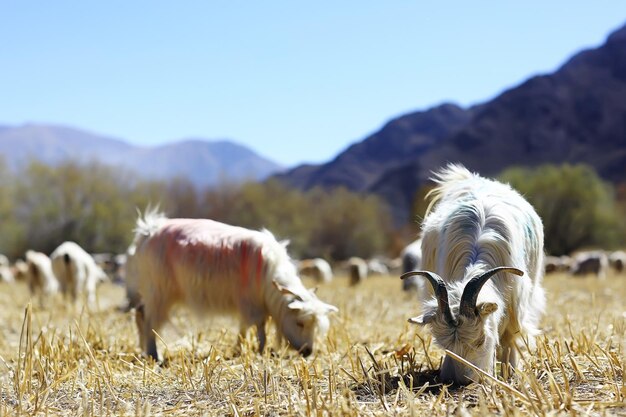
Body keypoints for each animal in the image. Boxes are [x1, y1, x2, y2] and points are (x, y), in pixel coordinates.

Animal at [123, 210, 334, 360]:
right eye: (300, 322)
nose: (308, 352)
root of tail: (148, 232)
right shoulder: (251, 303)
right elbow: (258, 328)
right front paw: (260, 350)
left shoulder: (248, 304)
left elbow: (245, 328)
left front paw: (240, 349)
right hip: (159, 291)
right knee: (150, 320)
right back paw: (154, 354)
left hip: (152, 292)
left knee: (140, 314)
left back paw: (143, 350)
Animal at [402, 164, 544, 386]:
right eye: (443, 344)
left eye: (481, 340)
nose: (461, 381)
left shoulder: (516, 302)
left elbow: (510, 336)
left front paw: (510, 371)